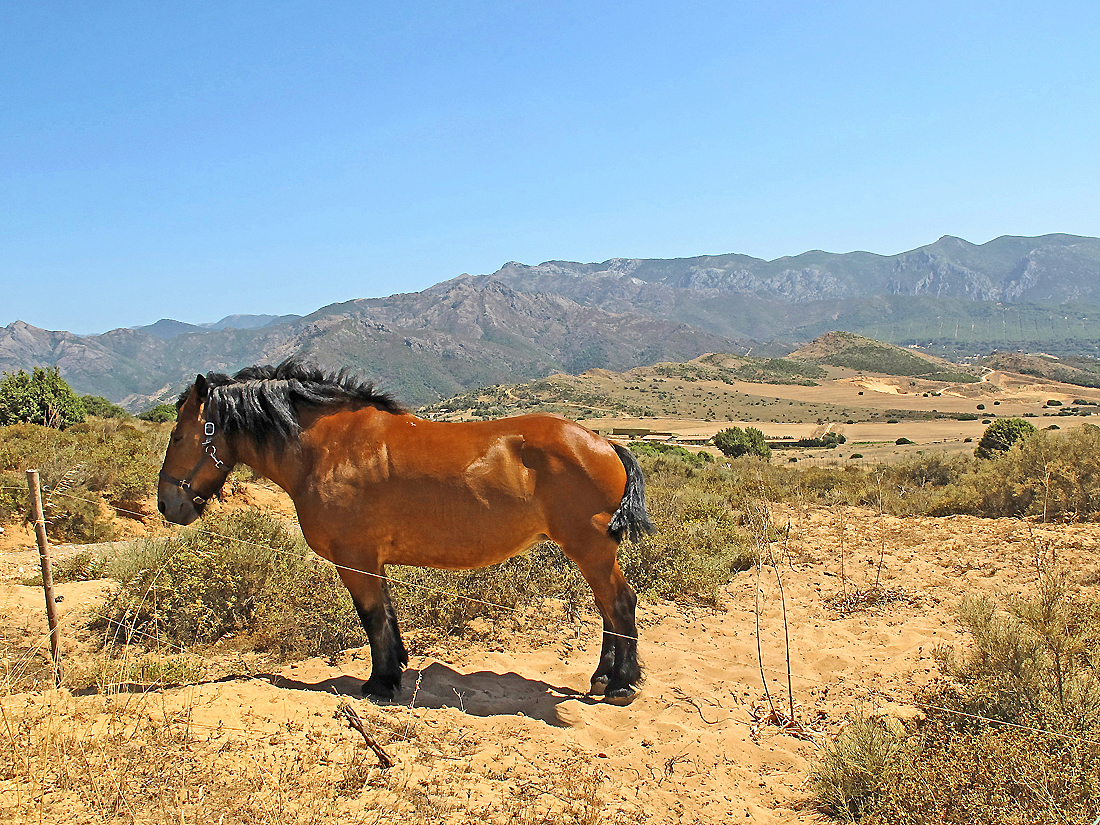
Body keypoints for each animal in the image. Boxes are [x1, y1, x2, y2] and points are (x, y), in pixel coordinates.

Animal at [155, 360, 651, 704]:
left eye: (178, 436)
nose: (166, 504)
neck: (328, 449)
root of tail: (605, 442)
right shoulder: (371, 562)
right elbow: (387, 618)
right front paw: (392, 674)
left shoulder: (355, 560)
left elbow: (373, 619)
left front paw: (380, 683)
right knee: (610, 611)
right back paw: (603, 677)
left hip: (590, 550)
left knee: (620, 605)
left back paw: (621, 684)